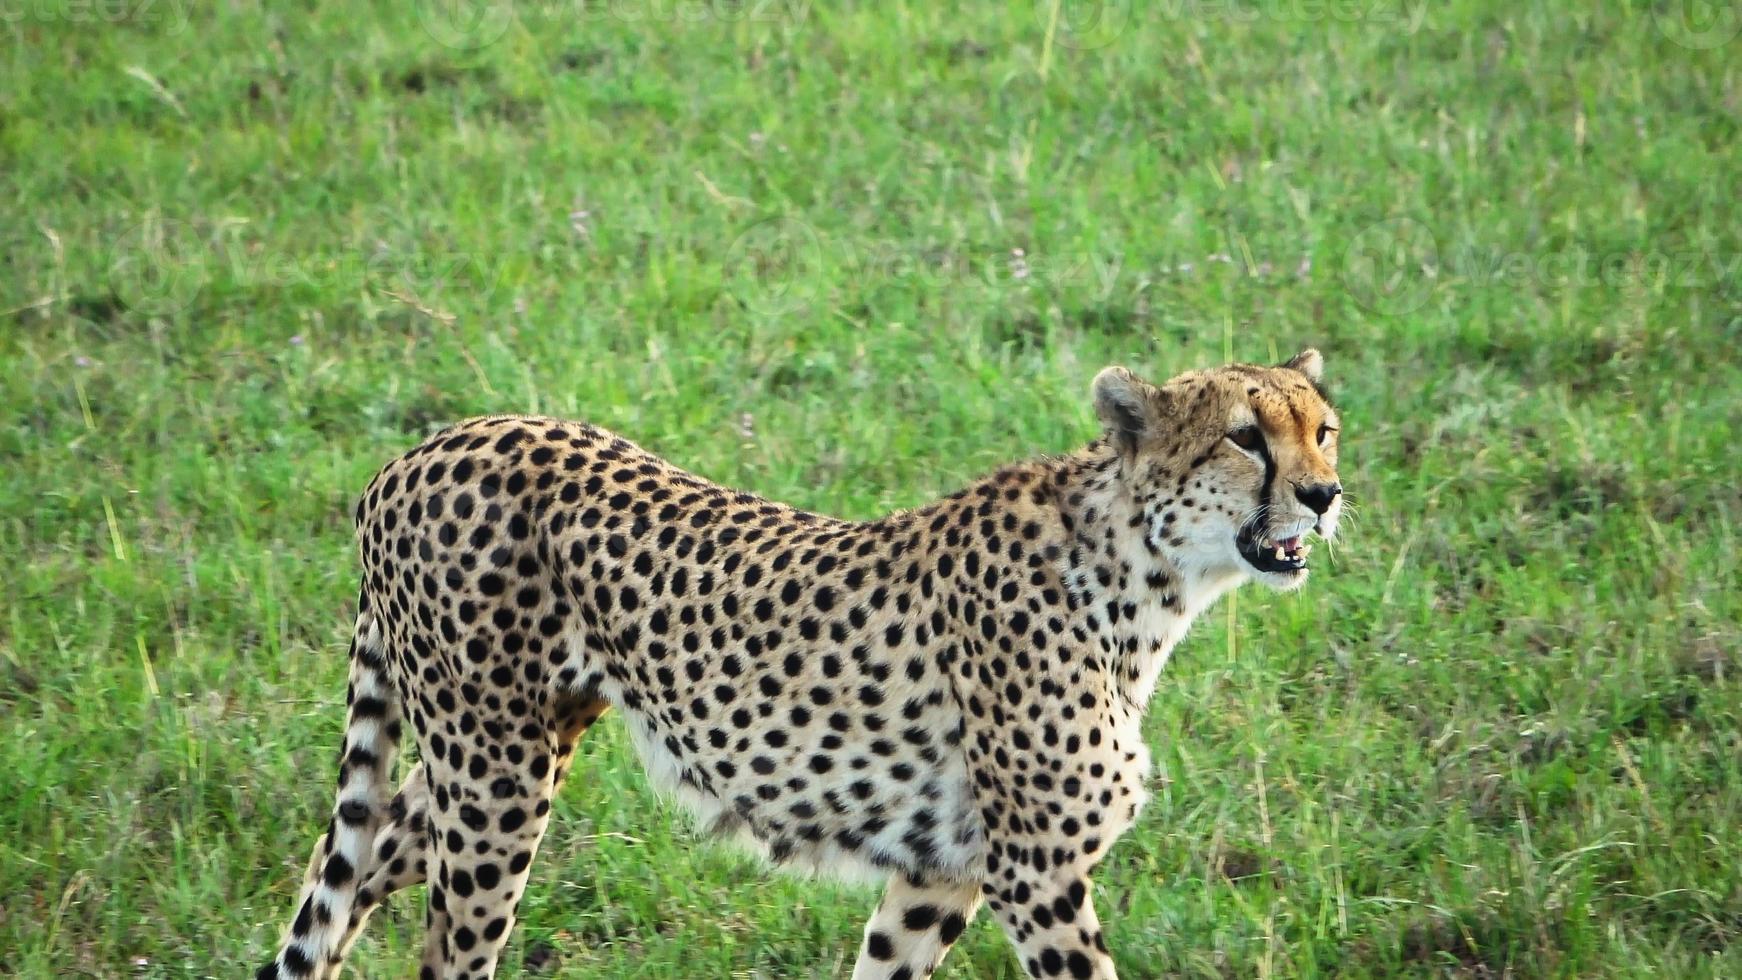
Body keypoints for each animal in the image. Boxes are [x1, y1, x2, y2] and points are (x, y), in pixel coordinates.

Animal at [257, 348, 1344, 974]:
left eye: (1321, 428)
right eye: (1246, 438)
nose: (1325, 494)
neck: (1139, 574)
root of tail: (416, 453)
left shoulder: (943, 867)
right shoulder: (1033, 869)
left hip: (505, 750)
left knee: (353, 864)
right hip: (496, 772)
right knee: (442, 941)